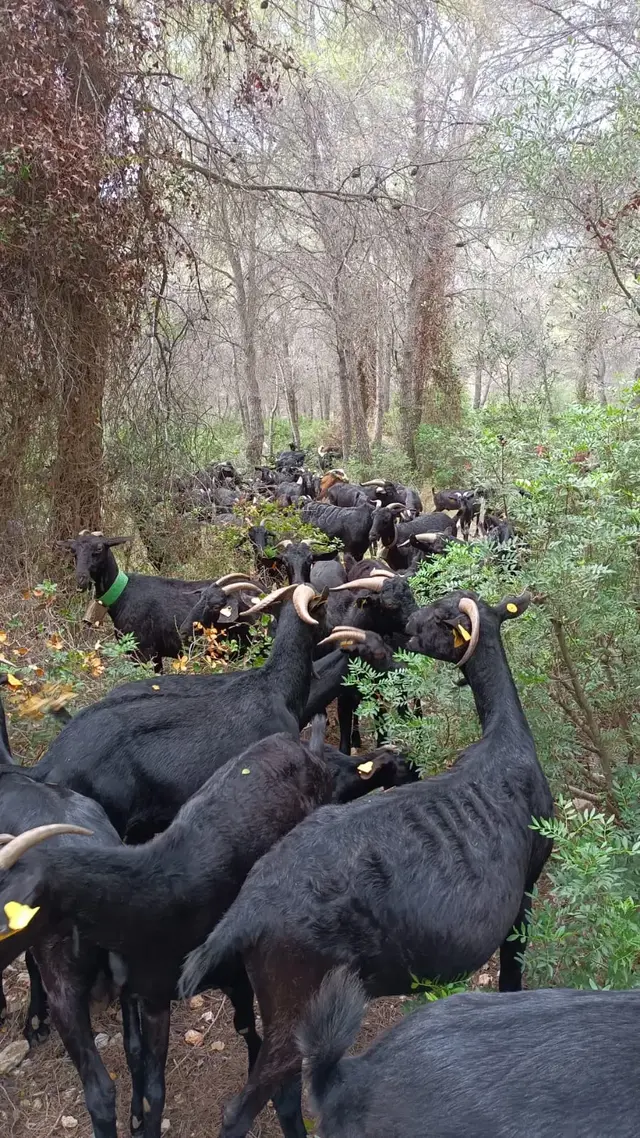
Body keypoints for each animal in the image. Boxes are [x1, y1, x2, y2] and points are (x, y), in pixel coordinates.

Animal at [57, 532, 259, 671]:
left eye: (99, 549)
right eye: (73, 551)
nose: (81, 580)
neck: (122, 595)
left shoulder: (143, 651)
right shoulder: (154, 655)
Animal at [179, 589, 553, 1138]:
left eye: (442, 617)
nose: (407, 626)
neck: (506, 740)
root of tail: (243, 915)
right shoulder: (527, 883)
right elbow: (511, 972)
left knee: (284, 1093)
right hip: (298, 1000)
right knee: (245, 1107)